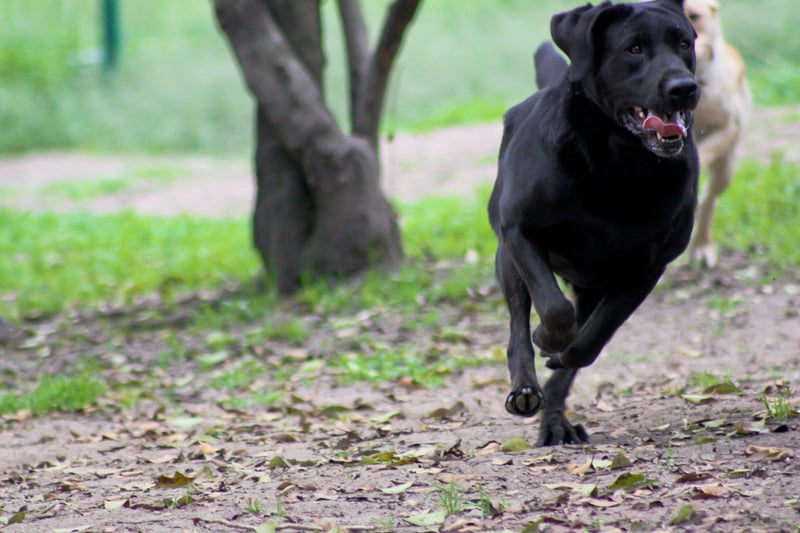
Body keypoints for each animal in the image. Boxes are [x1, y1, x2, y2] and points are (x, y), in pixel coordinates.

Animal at [484, 0, 696, 444]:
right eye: (634, 48)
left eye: (684, 43)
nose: (684, 88)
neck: (616, 161)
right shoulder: (520, 232)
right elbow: (553, 310)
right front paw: (546, 337)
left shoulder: (647, 267)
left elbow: (593, 338)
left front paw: (562, 351)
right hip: (507, 258)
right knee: (518, 324)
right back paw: (526, 388)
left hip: (592, 285)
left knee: (574, 354)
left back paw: (555, 420)